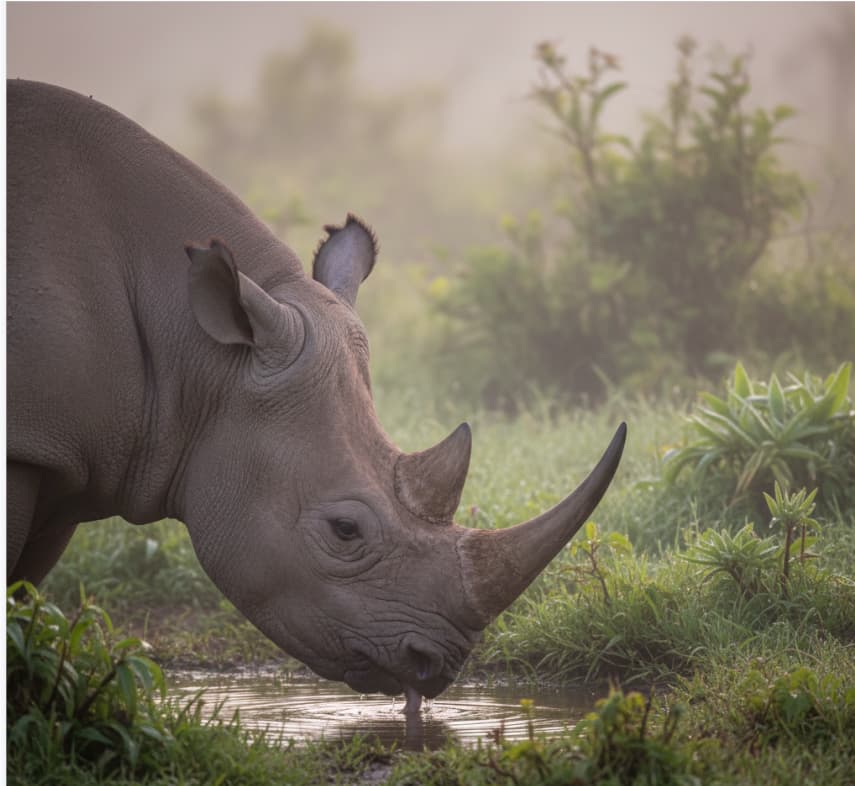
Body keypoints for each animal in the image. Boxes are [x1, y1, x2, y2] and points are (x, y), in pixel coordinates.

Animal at [7, 79, 626, 709]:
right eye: (344, 530)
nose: (435, 667)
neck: (198, 351)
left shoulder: (66, 453)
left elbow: (24, 585)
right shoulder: (26, 447)